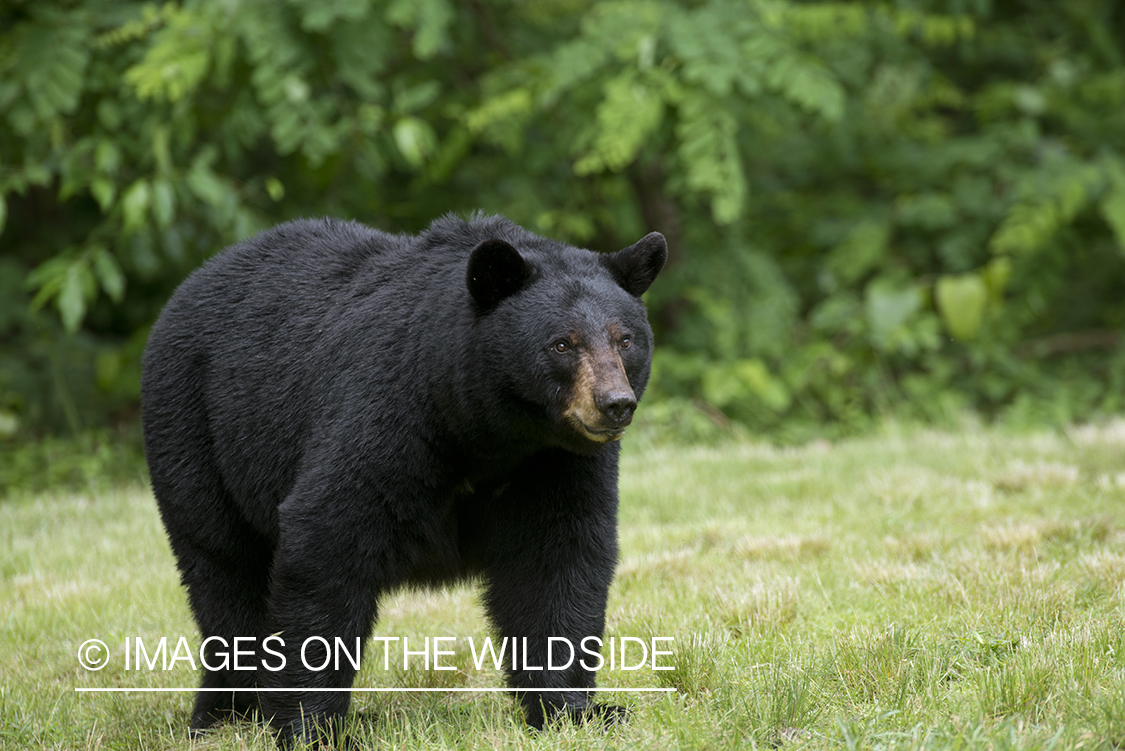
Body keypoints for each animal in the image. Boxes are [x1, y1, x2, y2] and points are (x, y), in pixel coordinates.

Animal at [140, 213, 666, 746]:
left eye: (625, 340)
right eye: (562, 343)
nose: (615, 404)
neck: (487, 433)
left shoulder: (553, 463)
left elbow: (557, 562)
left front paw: (574, 712)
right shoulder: (388, 414)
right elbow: (326, 543)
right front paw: (311, 730)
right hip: (197, 433)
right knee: (224, 571)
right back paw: (226, 715)